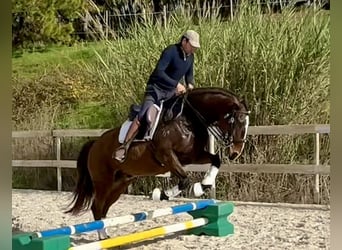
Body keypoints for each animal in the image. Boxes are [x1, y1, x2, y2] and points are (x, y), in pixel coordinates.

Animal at [65, 87, 250, 239]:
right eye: (238, 122)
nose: (236, 153)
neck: (188, 120)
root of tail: (95, 143)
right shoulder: (167, 156)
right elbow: (185, 180)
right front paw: (162, 194)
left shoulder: (192, 156)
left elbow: (215, 160)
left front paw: (204, 185)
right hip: (103, 182)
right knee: (97, 207)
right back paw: (103, 236)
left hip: (119, 184)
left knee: (104, 208)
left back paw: (105, 234)